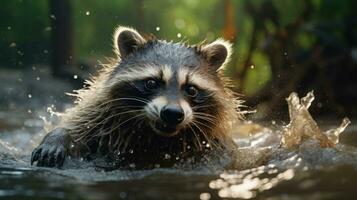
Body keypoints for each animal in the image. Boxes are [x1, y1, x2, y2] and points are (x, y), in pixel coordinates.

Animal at [31, 25, 242, 169]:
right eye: (151, 83)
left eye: (191, 89)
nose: (172, 113)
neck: (155, 136)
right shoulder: (100, 117)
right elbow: (78, 128)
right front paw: (58, 137)